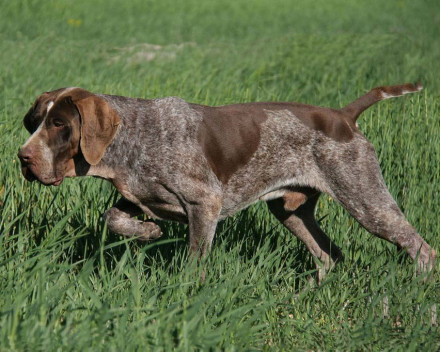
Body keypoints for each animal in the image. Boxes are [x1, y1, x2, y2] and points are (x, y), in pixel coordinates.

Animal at [18, 83, 434, 280]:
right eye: (35, 121)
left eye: (60, 124)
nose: (23, 158)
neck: (134, 136)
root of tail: (344, 116)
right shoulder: (138, 196)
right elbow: (114, 218)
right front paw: (149, 232)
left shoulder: (205, 204)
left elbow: (194, 261)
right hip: (291, 211)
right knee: (329, 256)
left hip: (366, 200)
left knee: (421, 248)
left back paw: (419, 291)